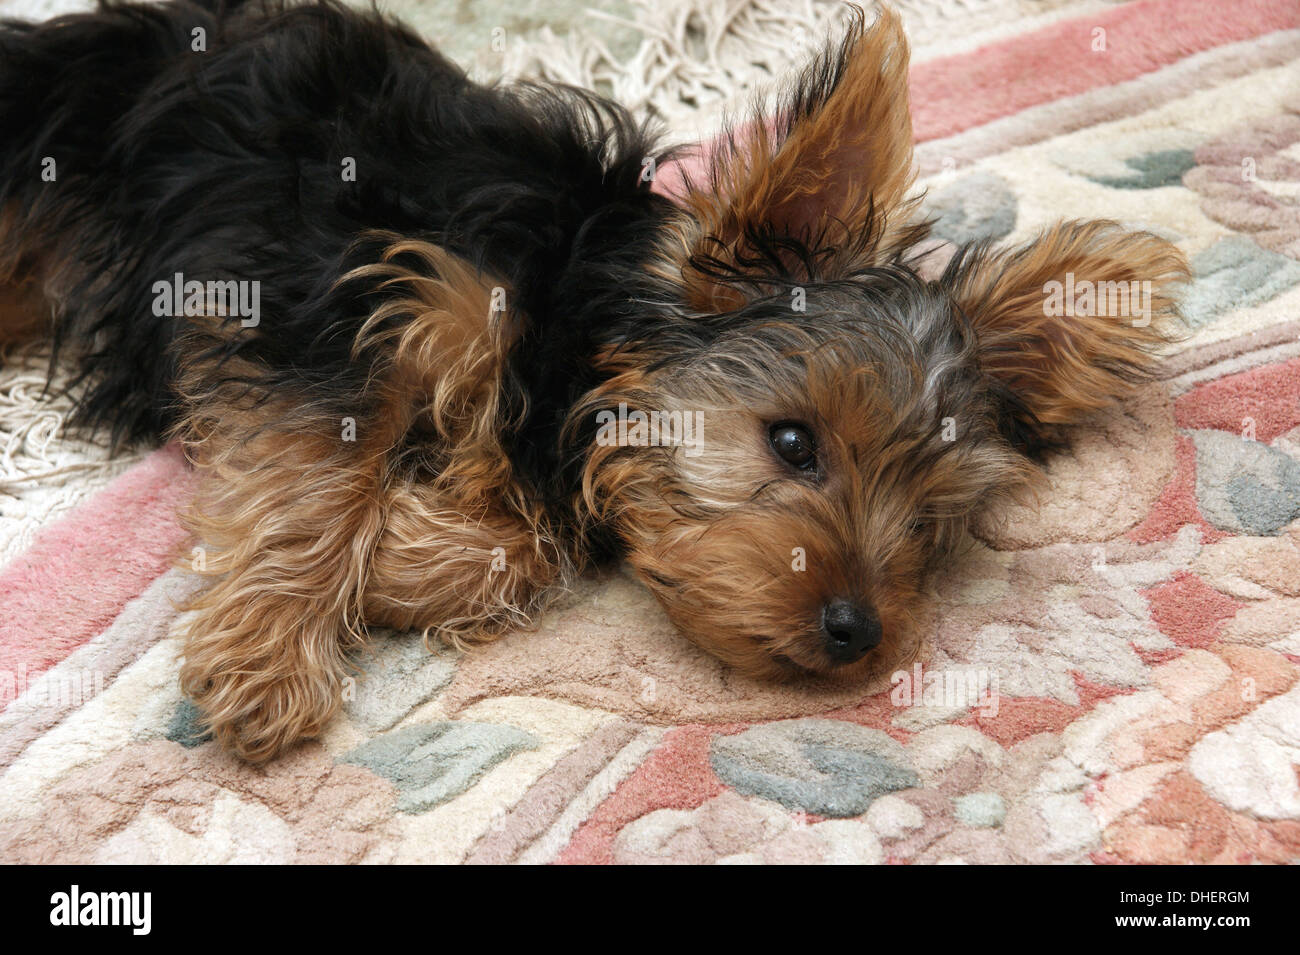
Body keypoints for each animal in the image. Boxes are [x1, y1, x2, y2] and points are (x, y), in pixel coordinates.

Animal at [0, 0, 1185, 764]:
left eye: (928, 524)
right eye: (791, 443)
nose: (857, 631)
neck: (571, 307)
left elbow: (528, 537)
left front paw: (402, 561)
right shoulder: (350, 300)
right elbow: (319, 477)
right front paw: (271, 658)